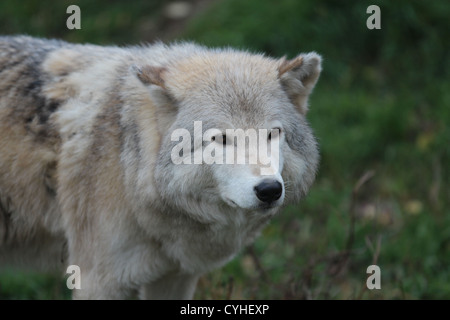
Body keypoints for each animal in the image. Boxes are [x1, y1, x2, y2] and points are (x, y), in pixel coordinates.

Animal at [0, 36, 324, 298]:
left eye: (273, 134)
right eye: (220, 138)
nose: (269, 190)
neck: (127, 168)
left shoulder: (176, 276)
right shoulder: (97, 281)